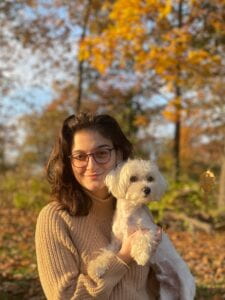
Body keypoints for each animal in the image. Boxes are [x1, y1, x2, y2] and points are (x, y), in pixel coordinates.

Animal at [87, 159, 195, 300]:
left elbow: (142, 237)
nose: (147, 189)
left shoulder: (153, 230)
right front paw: (96, 267)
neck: (130, 212)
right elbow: (107, 253)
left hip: (186, 289)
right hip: (166, 294)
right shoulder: (116, 242)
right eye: (132, 178)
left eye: (150, 178)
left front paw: (142, 256)